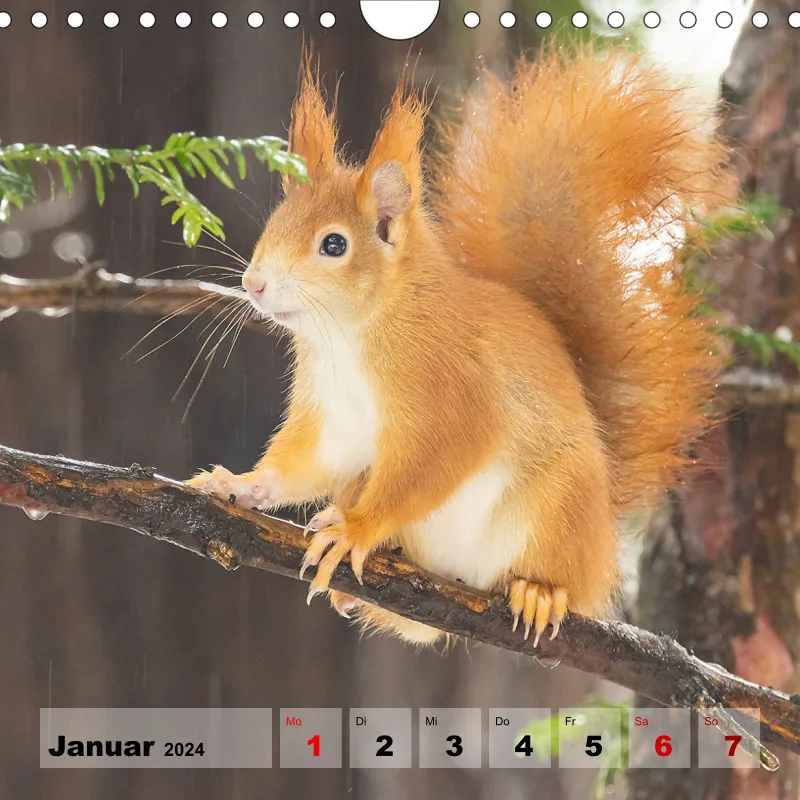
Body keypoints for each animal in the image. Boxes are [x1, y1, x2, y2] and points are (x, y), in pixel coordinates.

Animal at [188, 44, 731, 646]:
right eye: (275, 221)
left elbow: (440, 455)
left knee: (557, 574)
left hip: (559, 509)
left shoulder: (448, 382)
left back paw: (539, 591)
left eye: (333, 245)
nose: (253, 284)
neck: (351, 335)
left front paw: (358, 527)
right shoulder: (332, 411)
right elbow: (309, 463)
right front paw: (240, 485)